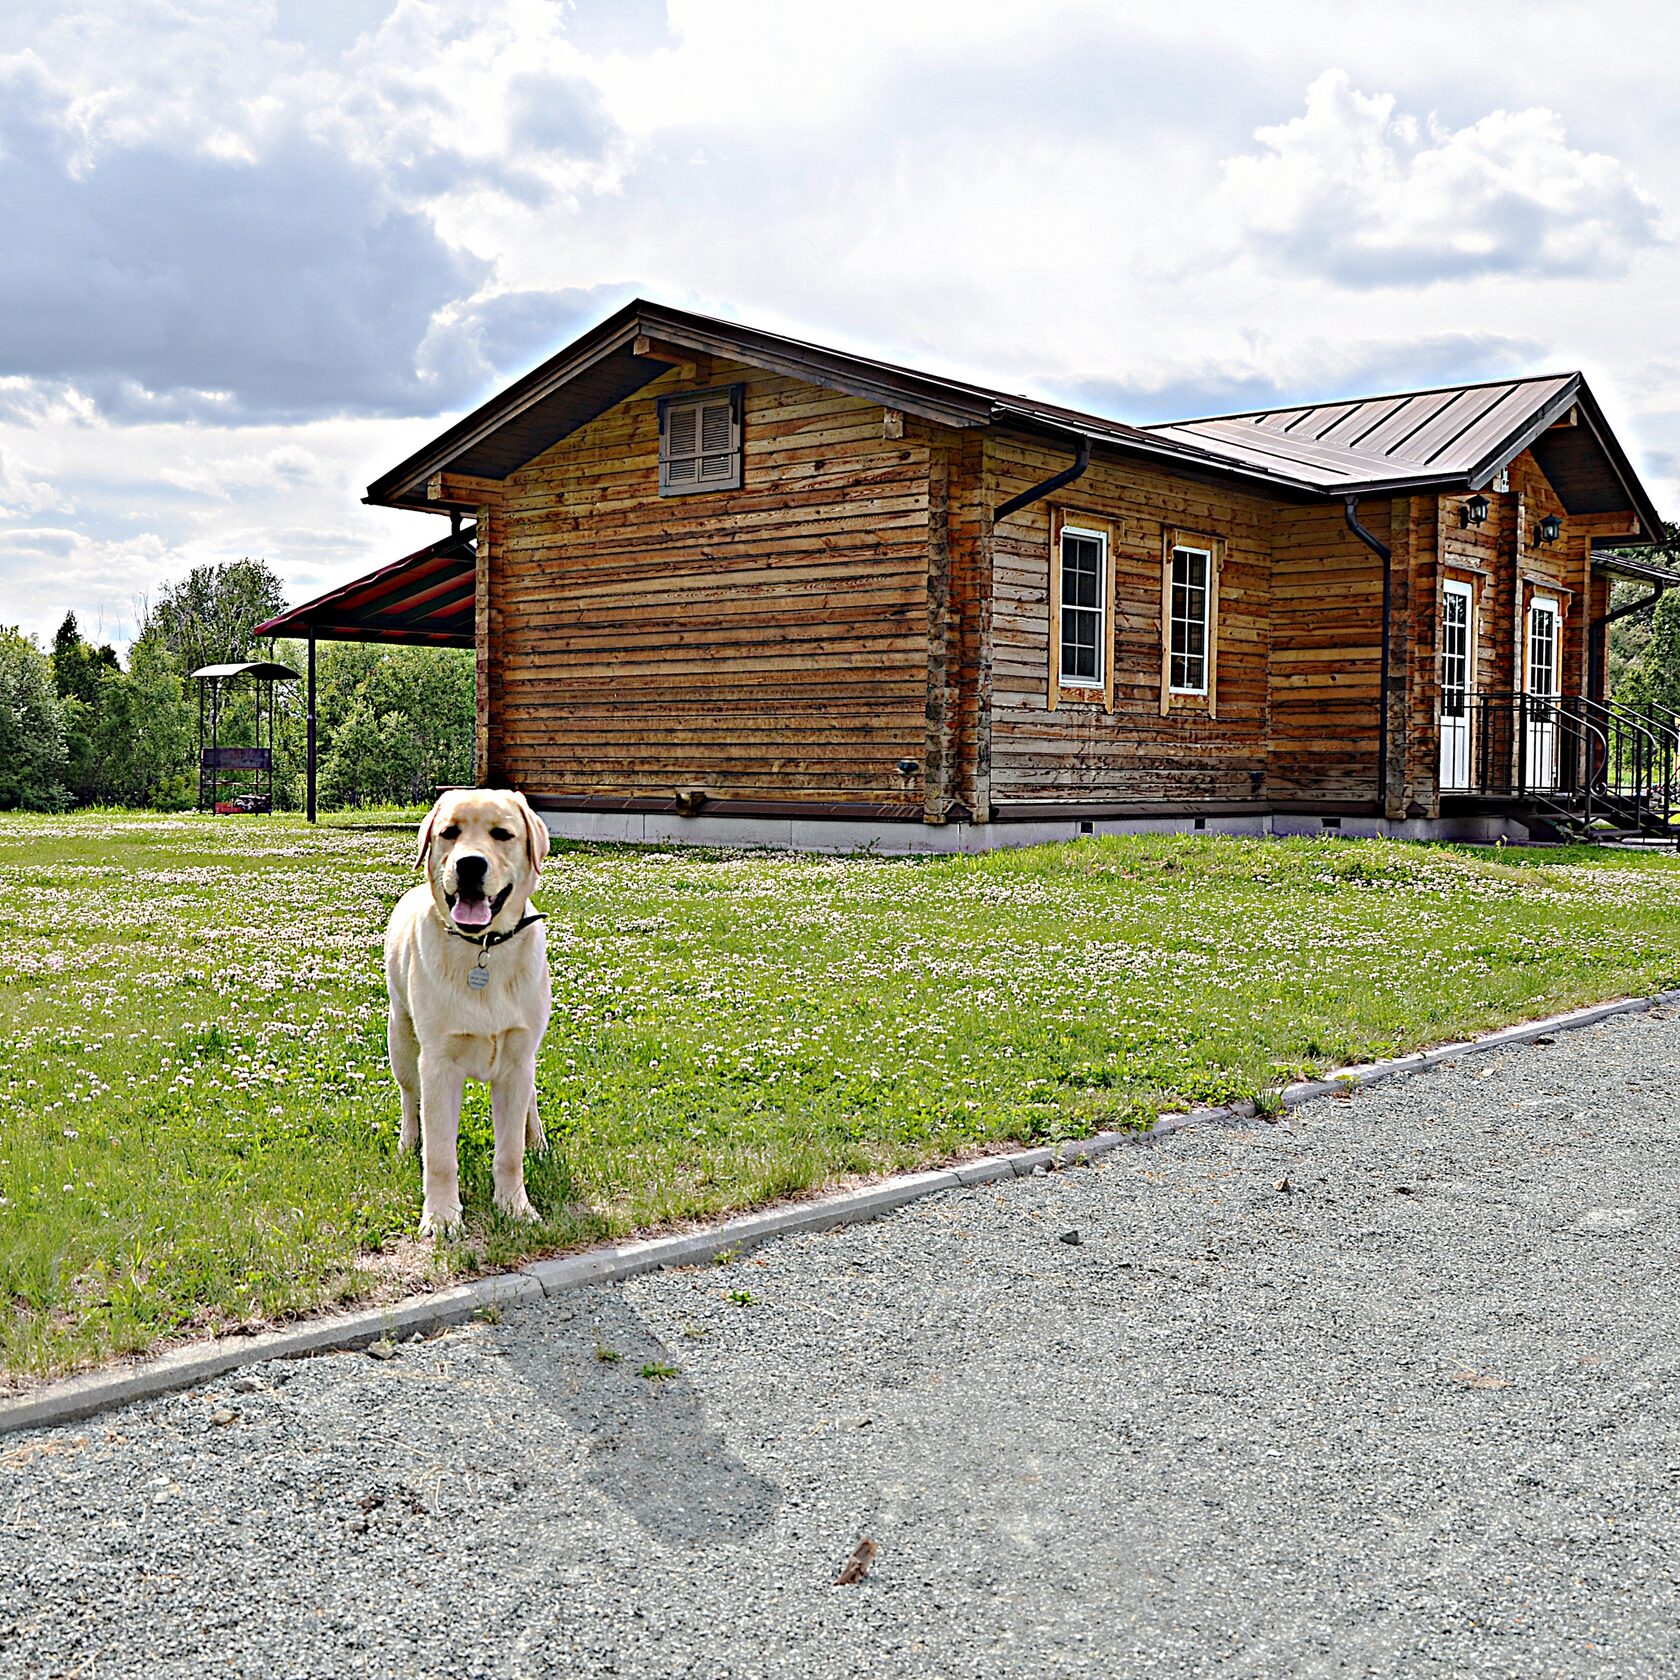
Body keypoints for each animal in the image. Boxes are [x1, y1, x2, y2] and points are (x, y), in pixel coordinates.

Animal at [384, 786, 551, 1236]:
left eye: (502, 834)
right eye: (449, 832)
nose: (470, 864)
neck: (483, 949)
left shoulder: (516, 1060)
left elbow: (509, 1152)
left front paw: (515, 1207)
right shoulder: (438, 1065)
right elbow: (440, 1155)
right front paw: (442, 1216)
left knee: (531, 1100)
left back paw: (538, 1142)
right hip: (401, 1040)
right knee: (409, 1099)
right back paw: (407, 1143)